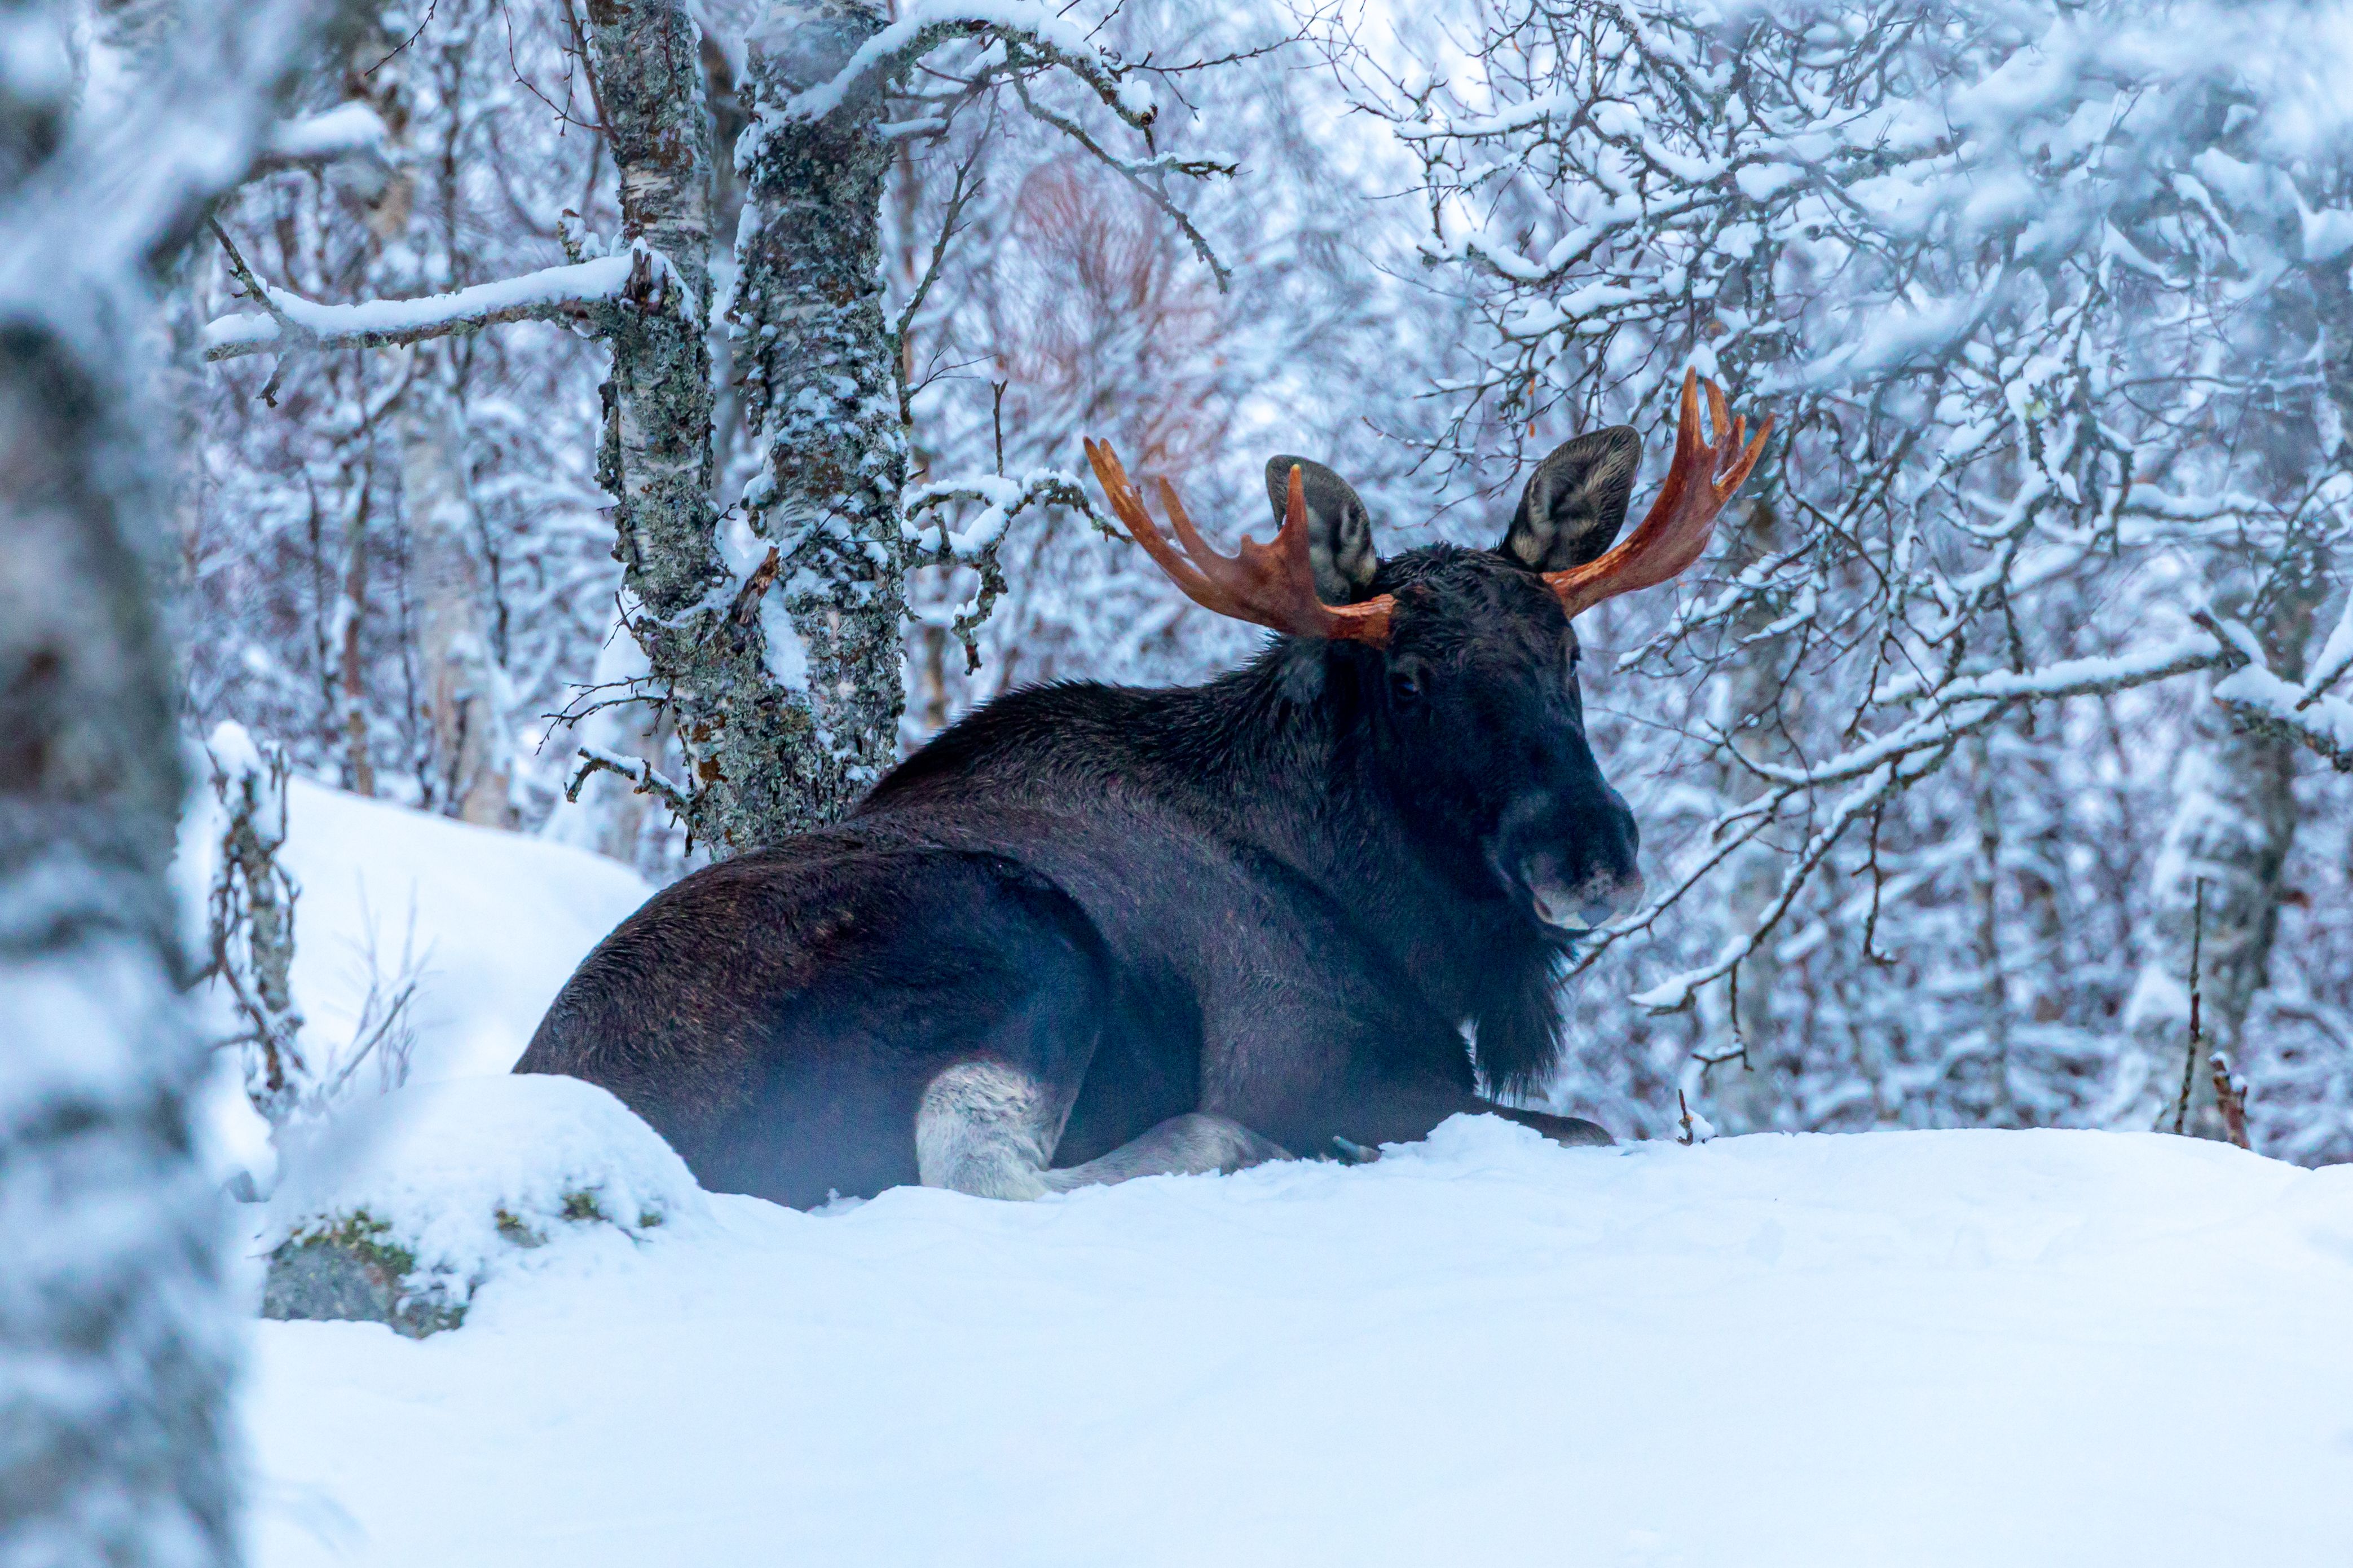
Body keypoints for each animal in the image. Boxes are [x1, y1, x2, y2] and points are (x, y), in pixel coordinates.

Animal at [517, 373, 1770, 1206]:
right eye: (1409, 679)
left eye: (1569, 650)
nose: (1590, 850)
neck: (1385, 903)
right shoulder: (1332, 1067)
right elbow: (1593, 1128)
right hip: (1021, 939)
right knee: (978, 1177)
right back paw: (1228, 1143)